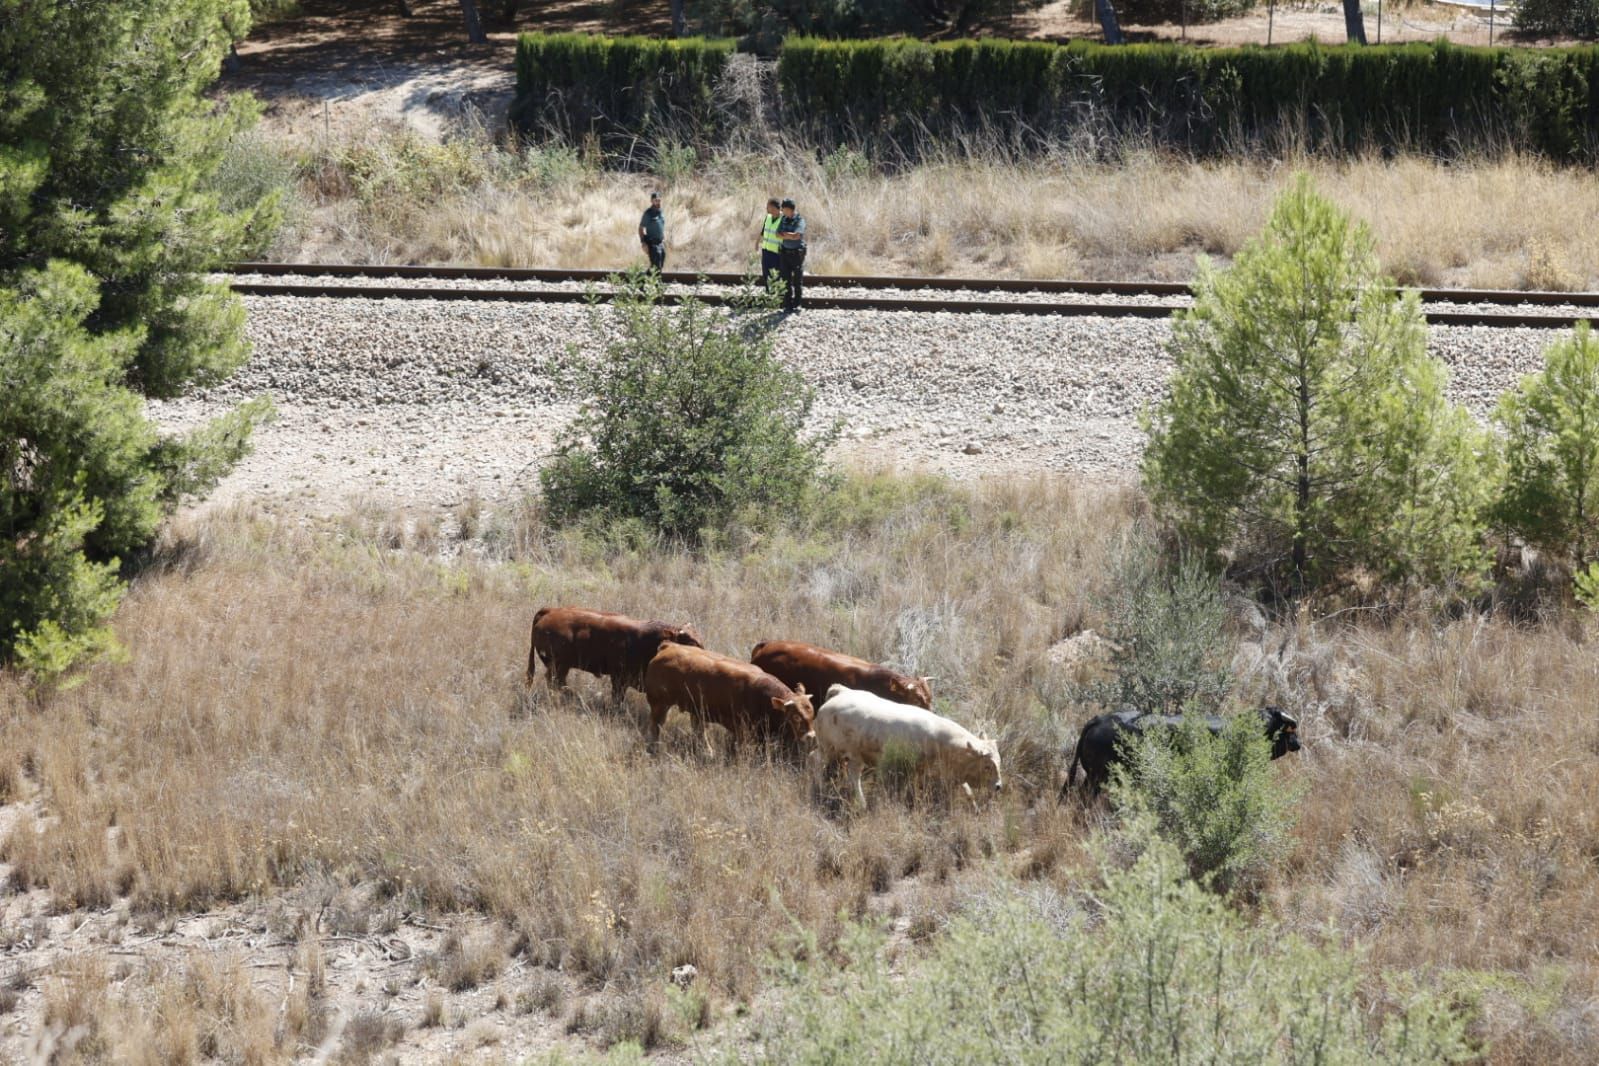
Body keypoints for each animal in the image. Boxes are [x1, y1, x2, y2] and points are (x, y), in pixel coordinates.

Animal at [527, 604, 703, 703]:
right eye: (690, 642)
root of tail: (550, 611)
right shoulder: (619, 678)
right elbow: (618, 698)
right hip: (559, 665)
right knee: (555, 682)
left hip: (562, 666)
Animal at [639, 645, 812, 754]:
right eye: (795, 716)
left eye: (812, 714)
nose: (811, 737)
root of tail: (667, 647)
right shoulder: (742, 730)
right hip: (659, 704)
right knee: (656, 726)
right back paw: (653, 748)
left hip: (696, 712)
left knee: (699, 730)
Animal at [812, 687, 997, 805]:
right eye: (987, 766)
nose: (998, 786)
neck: (938, 736)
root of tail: (840, 693)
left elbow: (967, 790)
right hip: (831, 748)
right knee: (816, 760)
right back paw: (821, 789)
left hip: (850, 755)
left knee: (850, 774)